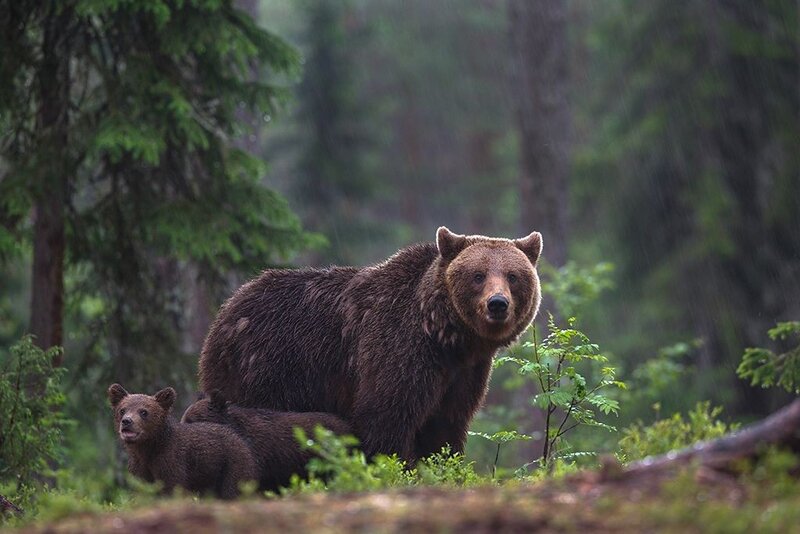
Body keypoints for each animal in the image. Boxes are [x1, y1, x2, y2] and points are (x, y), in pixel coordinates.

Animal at [108, 383, 258, 499]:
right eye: (122, 410)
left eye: (143, 412)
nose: (127, 421)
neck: (149, 447)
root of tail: (237, 435)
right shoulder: (138, 467)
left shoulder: (172, 461)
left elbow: (172, 487)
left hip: (232, 463)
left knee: (233, 489)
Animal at [198, 227, 542, 463]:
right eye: (478, 275)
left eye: (513, 275)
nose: (497, 304)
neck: (446, 335)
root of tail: (225, 312)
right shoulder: (398, 348)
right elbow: (386, 416)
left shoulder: (463, 374)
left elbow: (445, 427)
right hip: (267, 368)